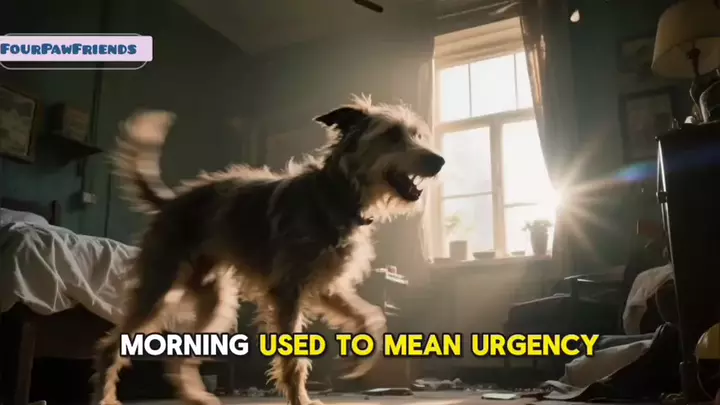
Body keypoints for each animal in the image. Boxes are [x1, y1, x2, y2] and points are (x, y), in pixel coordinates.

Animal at [93, 95, 445, 405]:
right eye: (391, 135)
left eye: (416, 134)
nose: (439, 161)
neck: (335, 194)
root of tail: (171, 201)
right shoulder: (288, 291)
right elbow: (294, 360)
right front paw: (300, 400)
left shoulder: (326, 287)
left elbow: (371, 317)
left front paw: (357, 362)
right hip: (159, 289)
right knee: (111, 347)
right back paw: (104, 397)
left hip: (213, 301)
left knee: (180, 355)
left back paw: (195, 397)